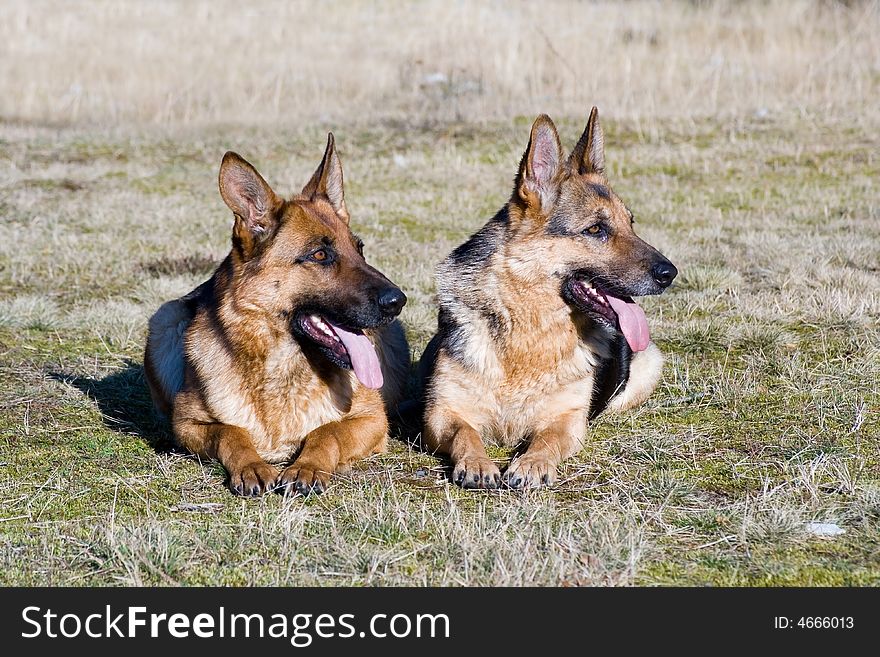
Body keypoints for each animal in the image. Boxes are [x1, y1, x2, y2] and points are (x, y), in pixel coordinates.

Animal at [144, 140, 410, 498]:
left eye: (360, 250)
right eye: (320, 255)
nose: (398, 301)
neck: (283, 363)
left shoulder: (372, 419)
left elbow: (327, 432)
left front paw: (307, 466)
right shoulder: (188, 424)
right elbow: (231, 432)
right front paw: (252, 465)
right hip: (166, 318)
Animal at [422, 107, 676, 486]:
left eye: (630, 224)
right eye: (596, 229)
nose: (670, 274)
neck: (528, 330)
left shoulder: (567, 420)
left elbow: (547, 439)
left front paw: (532, 464)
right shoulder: (442, 412)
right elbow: (465, 433)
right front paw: (478, 463)